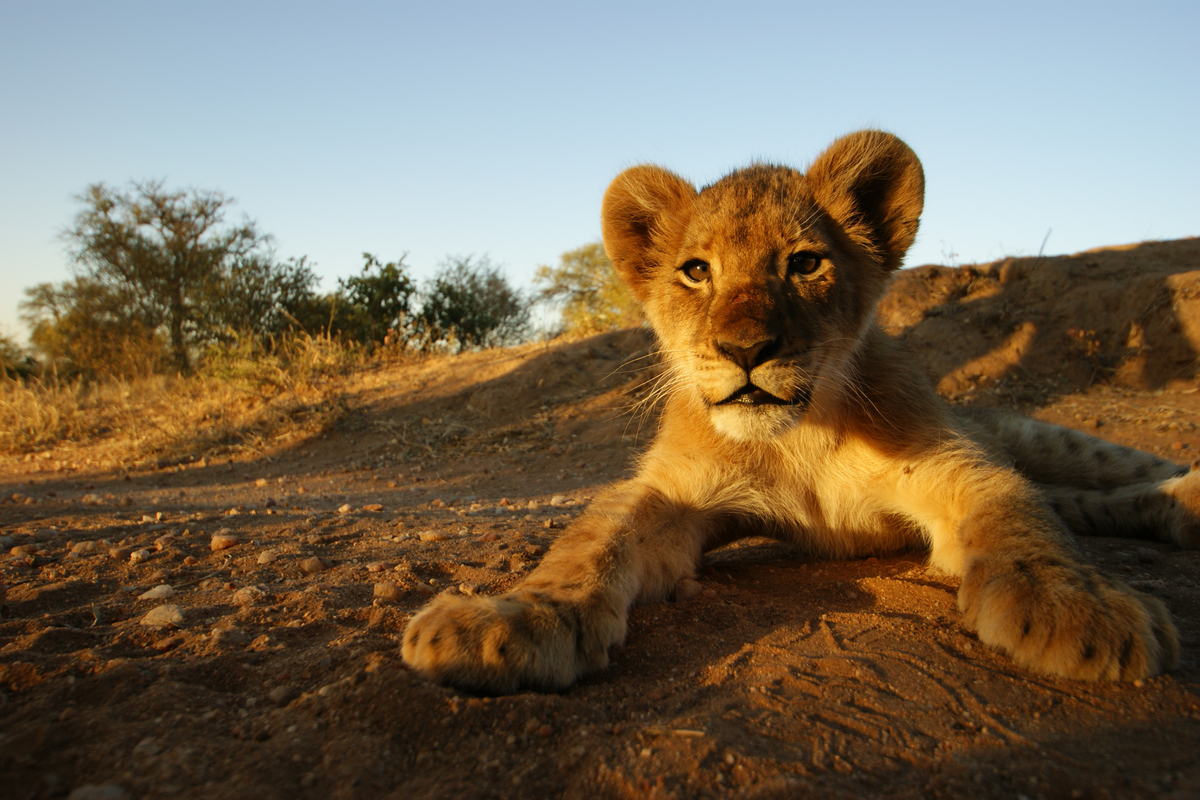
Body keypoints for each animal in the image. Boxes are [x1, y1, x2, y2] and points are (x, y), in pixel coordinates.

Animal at [402, 130, 1200, 693]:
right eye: (697, 271)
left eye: (805, 263)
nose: (745, 348)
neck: (799, 437)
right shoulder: (669, 495)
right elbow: (586, 545)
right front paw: (507, 622)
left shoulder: (957, 464)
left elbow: (1023, 523)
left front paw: (1079, 609)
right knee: (1082, 503)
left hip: (1036, 434)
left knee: (1093, 481)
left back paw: (1186, 497)